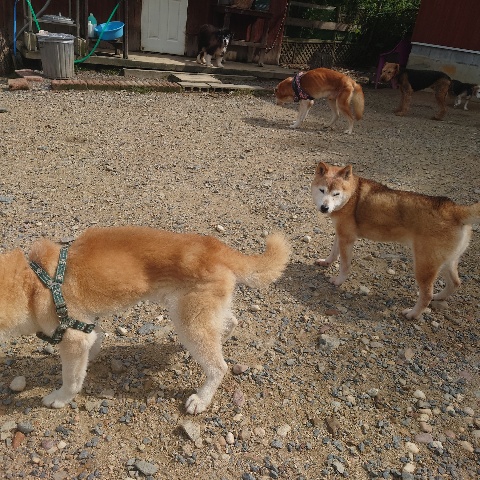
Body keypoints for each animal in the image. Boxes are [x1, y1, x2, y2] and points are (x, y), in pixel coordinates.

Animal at [0, 226, 290, 414]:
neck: (34, 280)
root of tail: (215, 247)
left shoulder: (74, 337)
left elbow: (71, 378)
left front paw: (59, 398)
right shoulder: (87, 326)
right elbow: (92, 347)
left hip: (188, 321)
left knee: (219, 367)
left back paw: (201, 399)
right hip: (199, 312)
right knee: (229, 323)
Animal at [311, 162, 479, 319]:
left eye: (336, 194)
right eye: (322, 190)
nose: (324, 207)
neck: (352, 194)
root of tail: (455, 209)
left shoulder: (347, 239)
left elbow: (344, 265)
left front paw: (339, 281)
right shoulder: (340, 234)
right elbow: (334, 253)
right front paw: (326, 262)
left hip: (424, 266)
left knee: (426, 295)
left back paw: (412, 314)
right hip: (446, 262)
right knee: (455, 283)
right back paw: (439, 297)